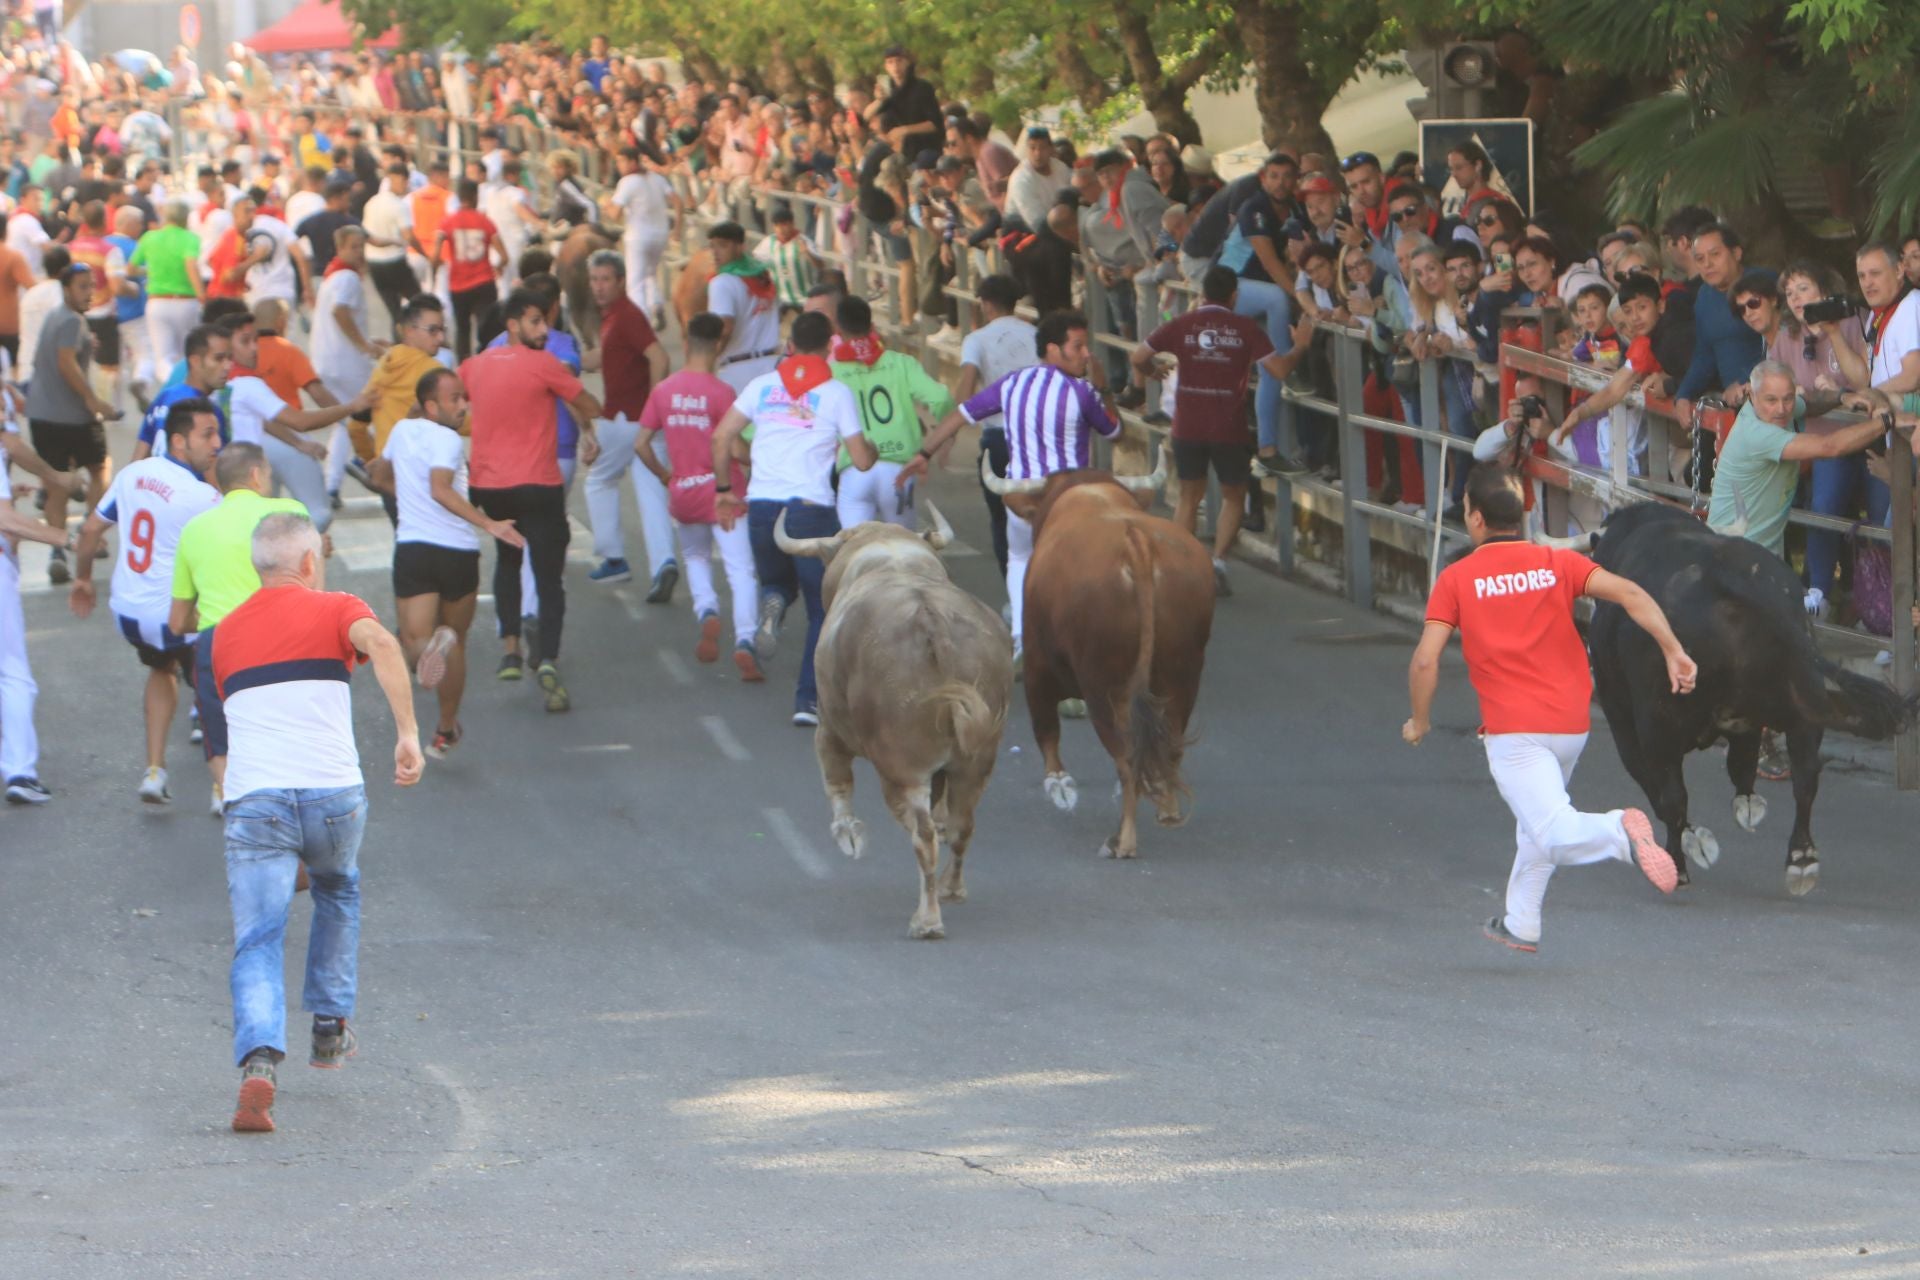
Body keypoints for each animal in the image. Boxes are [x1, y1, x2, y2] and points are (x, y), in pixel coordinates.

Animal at [775, 502, 1021, 940]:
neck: (891, 558)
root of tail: (932, 625)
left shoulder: (829, 730)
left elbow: (837, 781)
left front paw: (848, 835)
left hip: (901, 772)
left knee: (924, 836)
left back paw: (927, 920)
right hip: (976, 764)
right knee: (962, 825)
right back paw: (951, 888)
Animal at [990, 450, 1213, 859]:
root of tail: (1136, 544)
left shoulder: (1038, 666)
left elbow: (1046, 730)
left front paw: (1059, 786)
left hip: (1102, 684)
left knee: (1124, 755)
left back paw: (1122, 840)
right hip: (1184, 673)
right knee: (1169, 744)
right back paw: (1167, 809)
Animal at [1582, 498, 1912, 890]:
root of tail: (1727, 575)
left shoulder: (1623, 720)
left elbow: (1661, 791)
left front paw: (1697, 842)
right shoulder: (1744, 725)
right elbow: (1741, 768)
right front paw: (1748, 808)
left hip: (1655, 722)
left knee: (1672, 796)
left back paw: (1679, 863)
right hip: (1801, 700)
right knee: (1805, 776)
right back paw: (1801, 858)